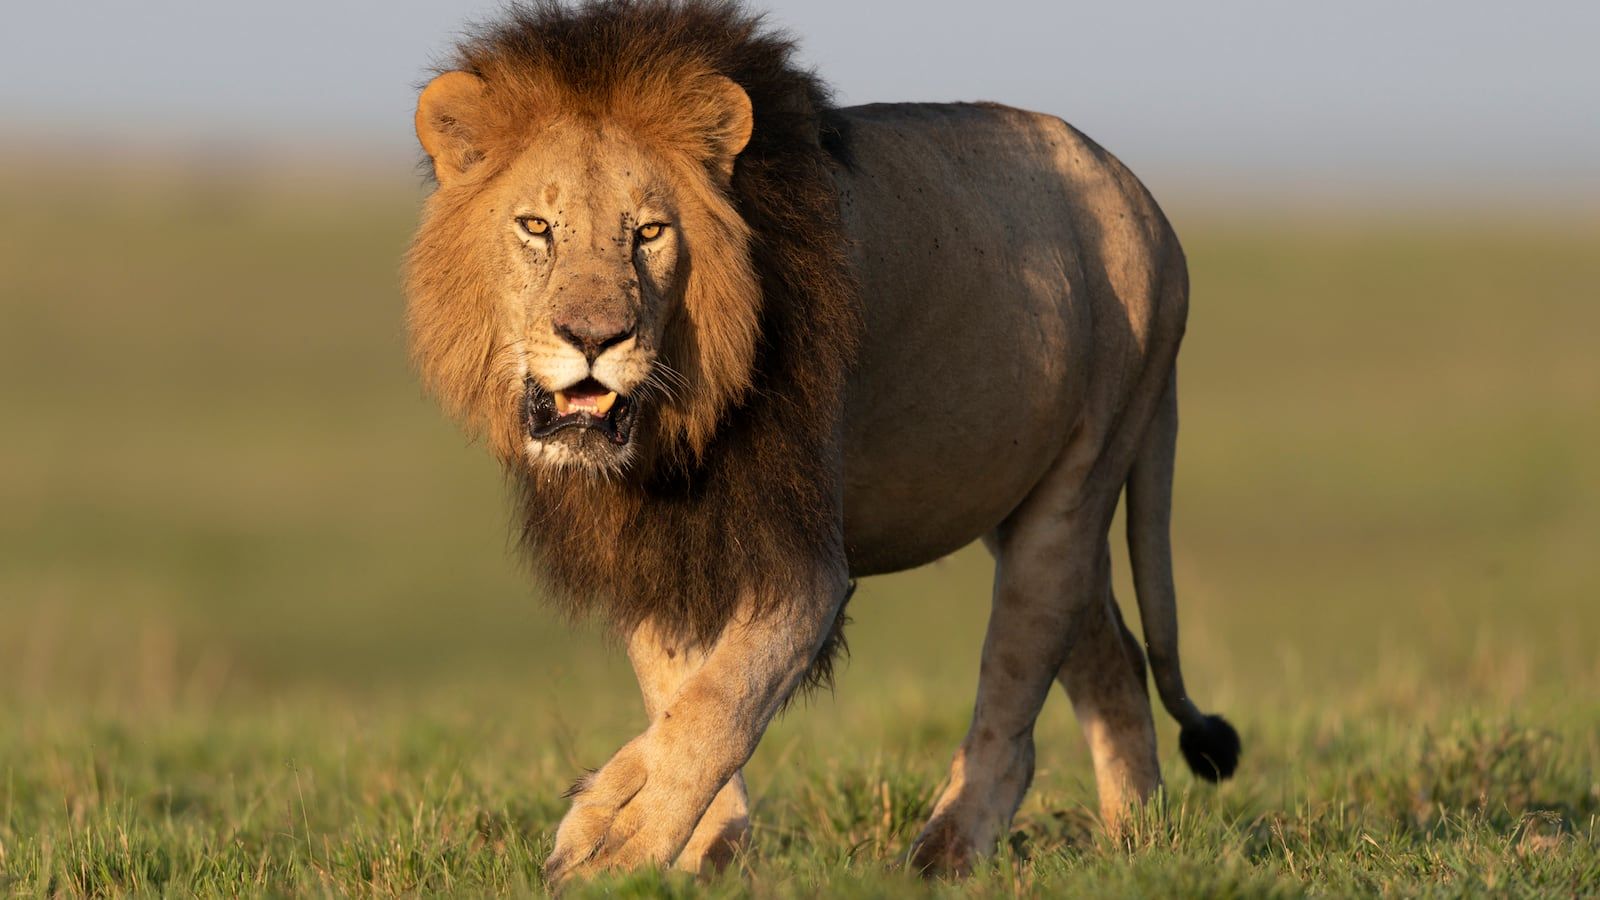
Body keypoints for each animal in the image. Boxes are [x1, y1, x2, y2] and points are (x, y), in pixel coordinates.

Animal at [404, 0, 1239, 885]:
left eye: (650, 233)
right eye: (536, 227)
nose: (595, 338)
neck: (673, 430)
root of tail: (1145, 198)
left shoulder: (806, 558)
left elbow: (722, 699)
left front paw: (615, 839)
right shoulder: (649, 541)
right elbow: (675, 689)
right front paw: (706, 847)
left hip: (1075, 488)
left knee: (1017, 695)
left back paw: (946, 851)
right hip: (1025, 506)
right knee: (1112, 656)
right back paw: (1136, 847)